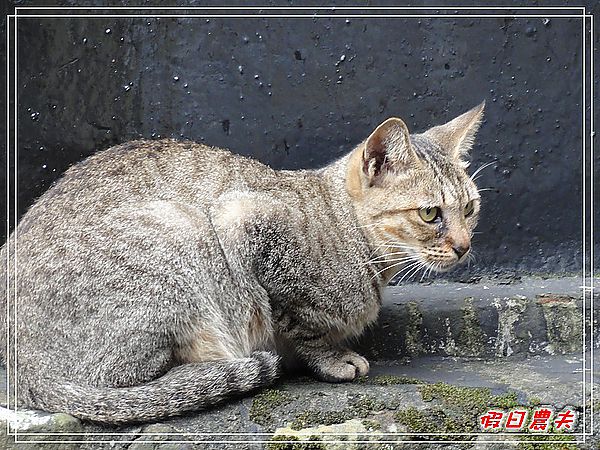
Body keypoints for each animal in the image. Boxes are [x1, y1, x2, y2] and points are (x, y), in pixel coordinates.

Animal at [0, 102, 482, 422]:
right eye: (430, 214)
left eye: (470, 209)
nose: (463, 246)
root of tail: (23, 373)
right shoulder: (241, 223)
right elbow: (298, 321)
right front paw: (332, 358)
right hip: (180, 235)